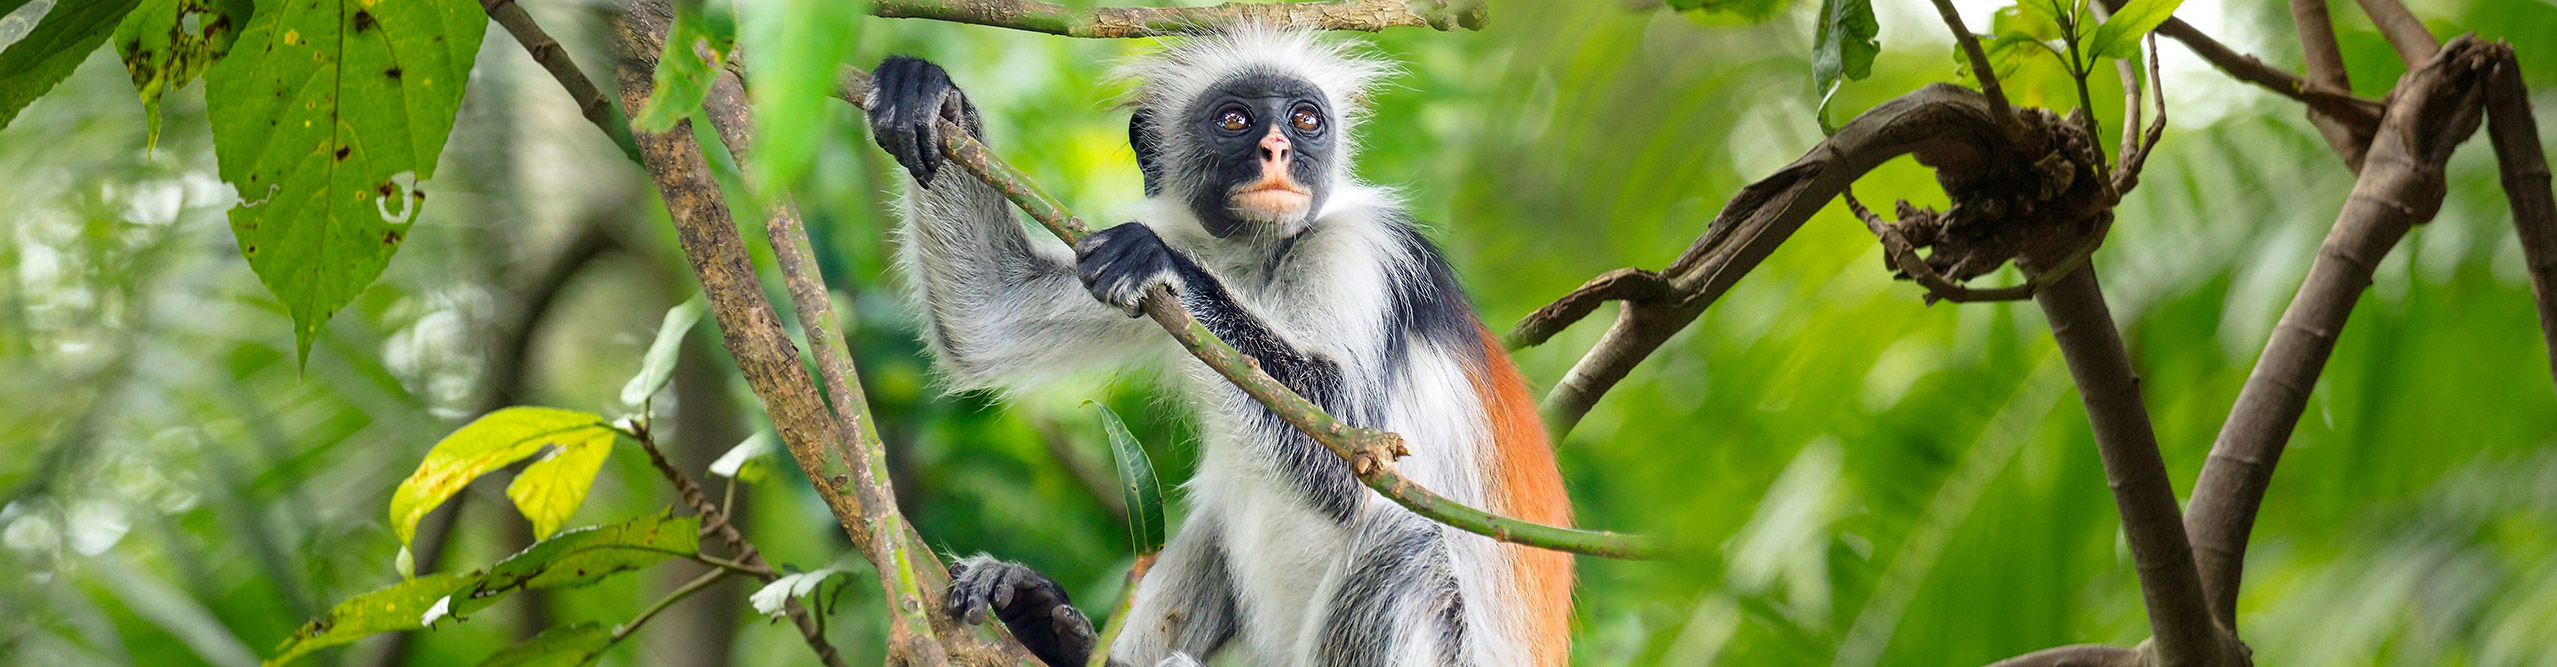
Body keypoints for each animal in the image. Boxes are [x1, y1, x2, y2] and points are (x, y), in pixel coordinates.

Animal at [863, 26, 1574, 667]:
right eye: (1235, 120)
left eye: (1305, 119)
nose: (1276, 147)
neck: (1262, 260)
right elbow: (985, 321)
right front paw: (932, 96)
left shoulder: (1360, 249)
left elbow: (1358, 458)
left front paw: (1165, 265)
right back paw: (1063, 637)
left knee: (1409, 543)